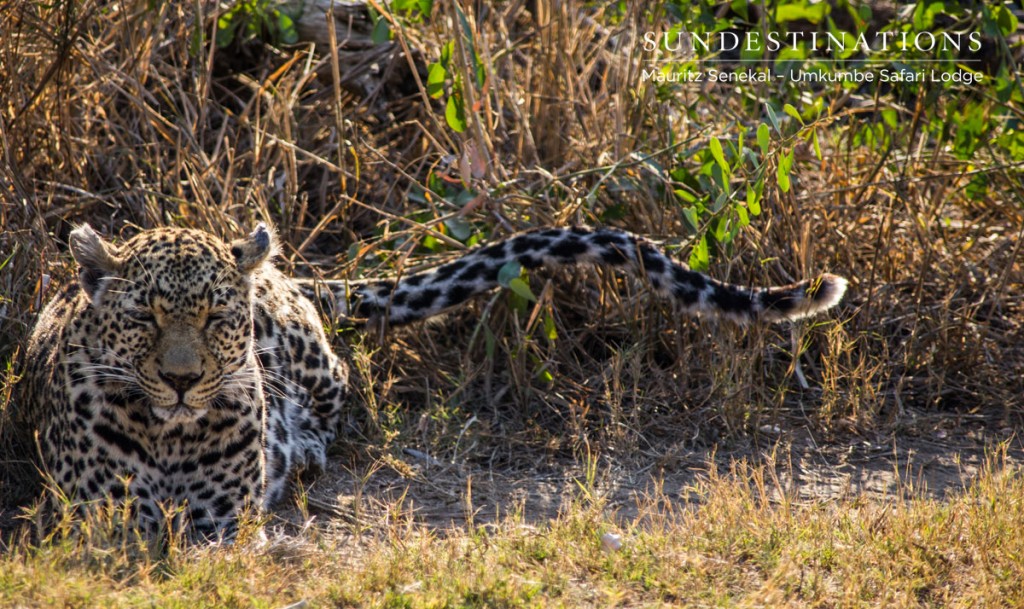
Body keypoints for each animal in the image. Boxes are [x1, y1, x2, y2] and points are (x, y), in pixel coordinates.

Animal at [19, 223, 847, 540]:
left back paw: (305, 446)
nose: (183, 380)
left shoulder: (218, 517)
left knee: (339, 381)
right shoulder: (100, 516)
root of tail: (282, 274)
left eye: (216, 316)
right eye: (146, 318)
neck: (168, 432)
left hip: (304, 352)